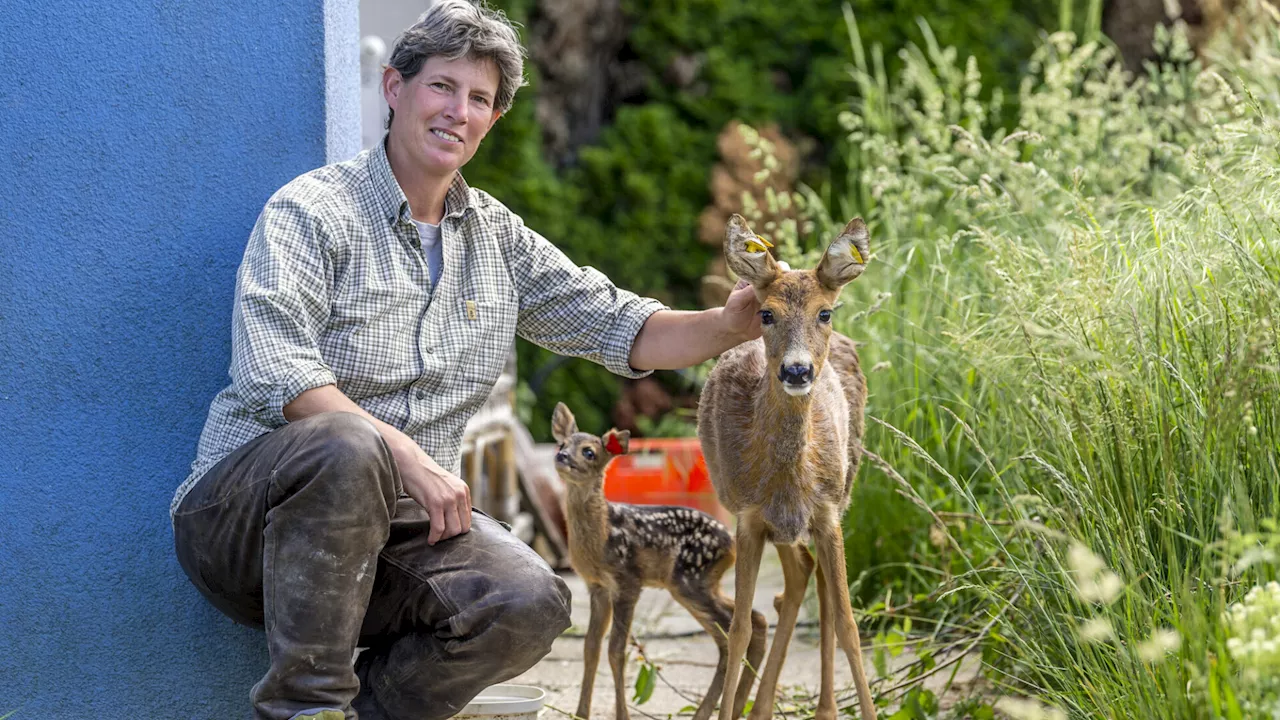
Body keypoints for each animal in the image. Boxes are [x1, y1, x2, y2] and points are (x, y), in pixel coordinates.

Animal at [545, 404, 762, 717]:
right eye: (562, 444)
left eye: (589, 452)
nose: (561, 457)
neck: (603, 533)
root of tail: (731, 542)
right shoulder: (597, 586)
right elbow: (591, 647)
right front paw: (580, 713)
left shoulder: (628, 580)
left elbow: (615, 649)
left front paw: (622, 715)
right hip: (703, 584)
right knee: (756, 619)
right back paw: (735, 707)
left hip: (689, 579)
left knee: (729, 634)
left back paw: (706, 712)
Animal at [701, 212, 880, 717]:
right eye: (766, 314)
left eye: (825, 312)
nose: (797, 371)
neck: (786, 473)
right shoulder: (748, 518)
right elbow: (739, 629)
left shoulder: (828, 512)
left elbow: (849, 624)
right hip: (781, 524)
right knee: (798, 577)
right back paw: (764, 707)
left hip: (843, 490)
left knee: (817, 586)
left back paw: (825, 708)